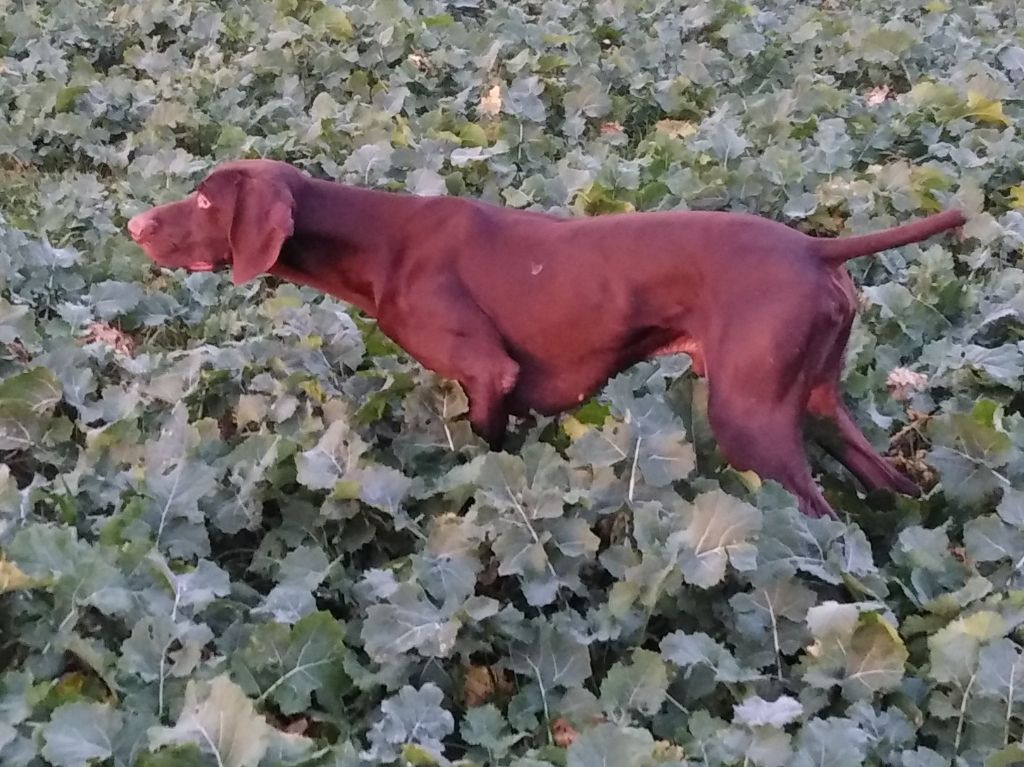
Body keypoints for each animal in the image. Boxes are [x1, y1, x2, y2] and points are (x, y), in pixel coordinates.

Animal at [123, 158, 962, 518]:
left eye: (205, 199)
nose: (133, 224)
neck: (379, 240)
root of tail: (816, 249)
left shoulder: (487, 375)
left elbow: (489, 468)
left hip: (750, 420)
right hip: (816, 406)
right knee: (890, 485)